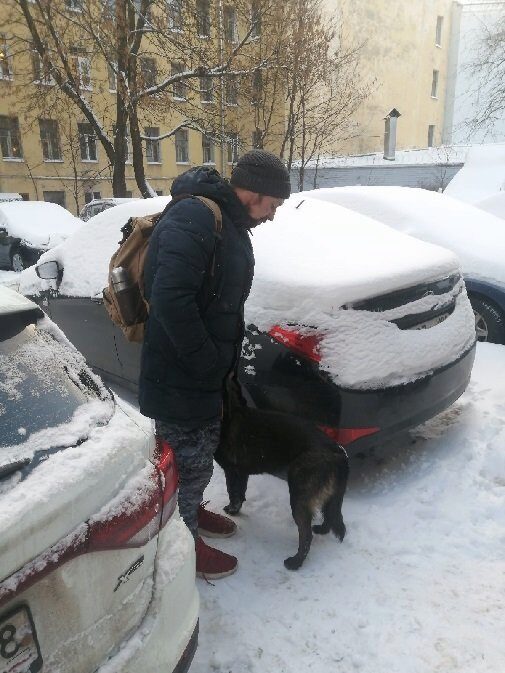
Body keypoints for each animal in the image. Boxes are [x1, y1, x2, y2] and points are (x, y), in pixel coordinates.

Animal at [214, 378, 350, 568]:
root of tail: (337, 453)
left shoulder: (232, 471)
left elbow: (233, 493)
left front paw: (231, 510)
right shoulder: (241, 474)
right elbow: (240, 495)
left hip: (299, 497)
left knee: (306, 535)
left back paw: (295, 562)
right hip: (329, 496)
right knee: (329, 514)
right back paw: (322, 530)